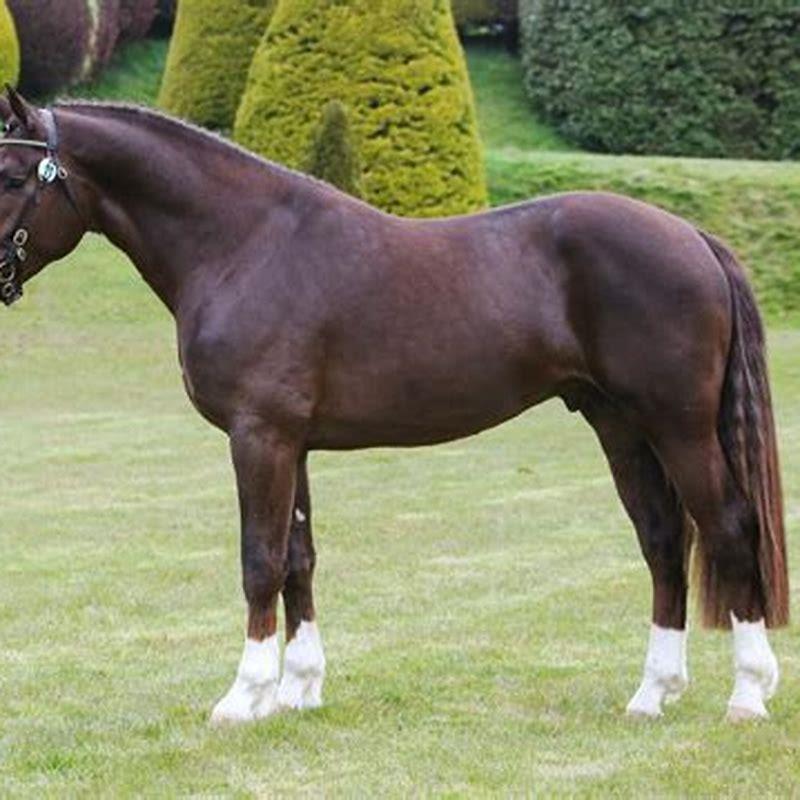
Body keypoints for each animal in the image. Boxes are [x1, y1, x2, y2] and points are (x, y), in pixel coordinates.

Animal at [0, 86, 788, 725]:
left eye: (11, 175)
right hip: (621, 426)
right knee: (662, 542)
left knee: (729, 529)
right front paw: (298, 690)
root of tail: (692, 237)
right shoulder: (293, 442)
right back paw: (652, 694)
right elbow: (299, 559)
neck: (241, 245)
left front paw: (242, 697)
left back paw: (747, 695)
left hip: (679, 427)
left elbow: (260, 561)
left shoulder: (259, 436)